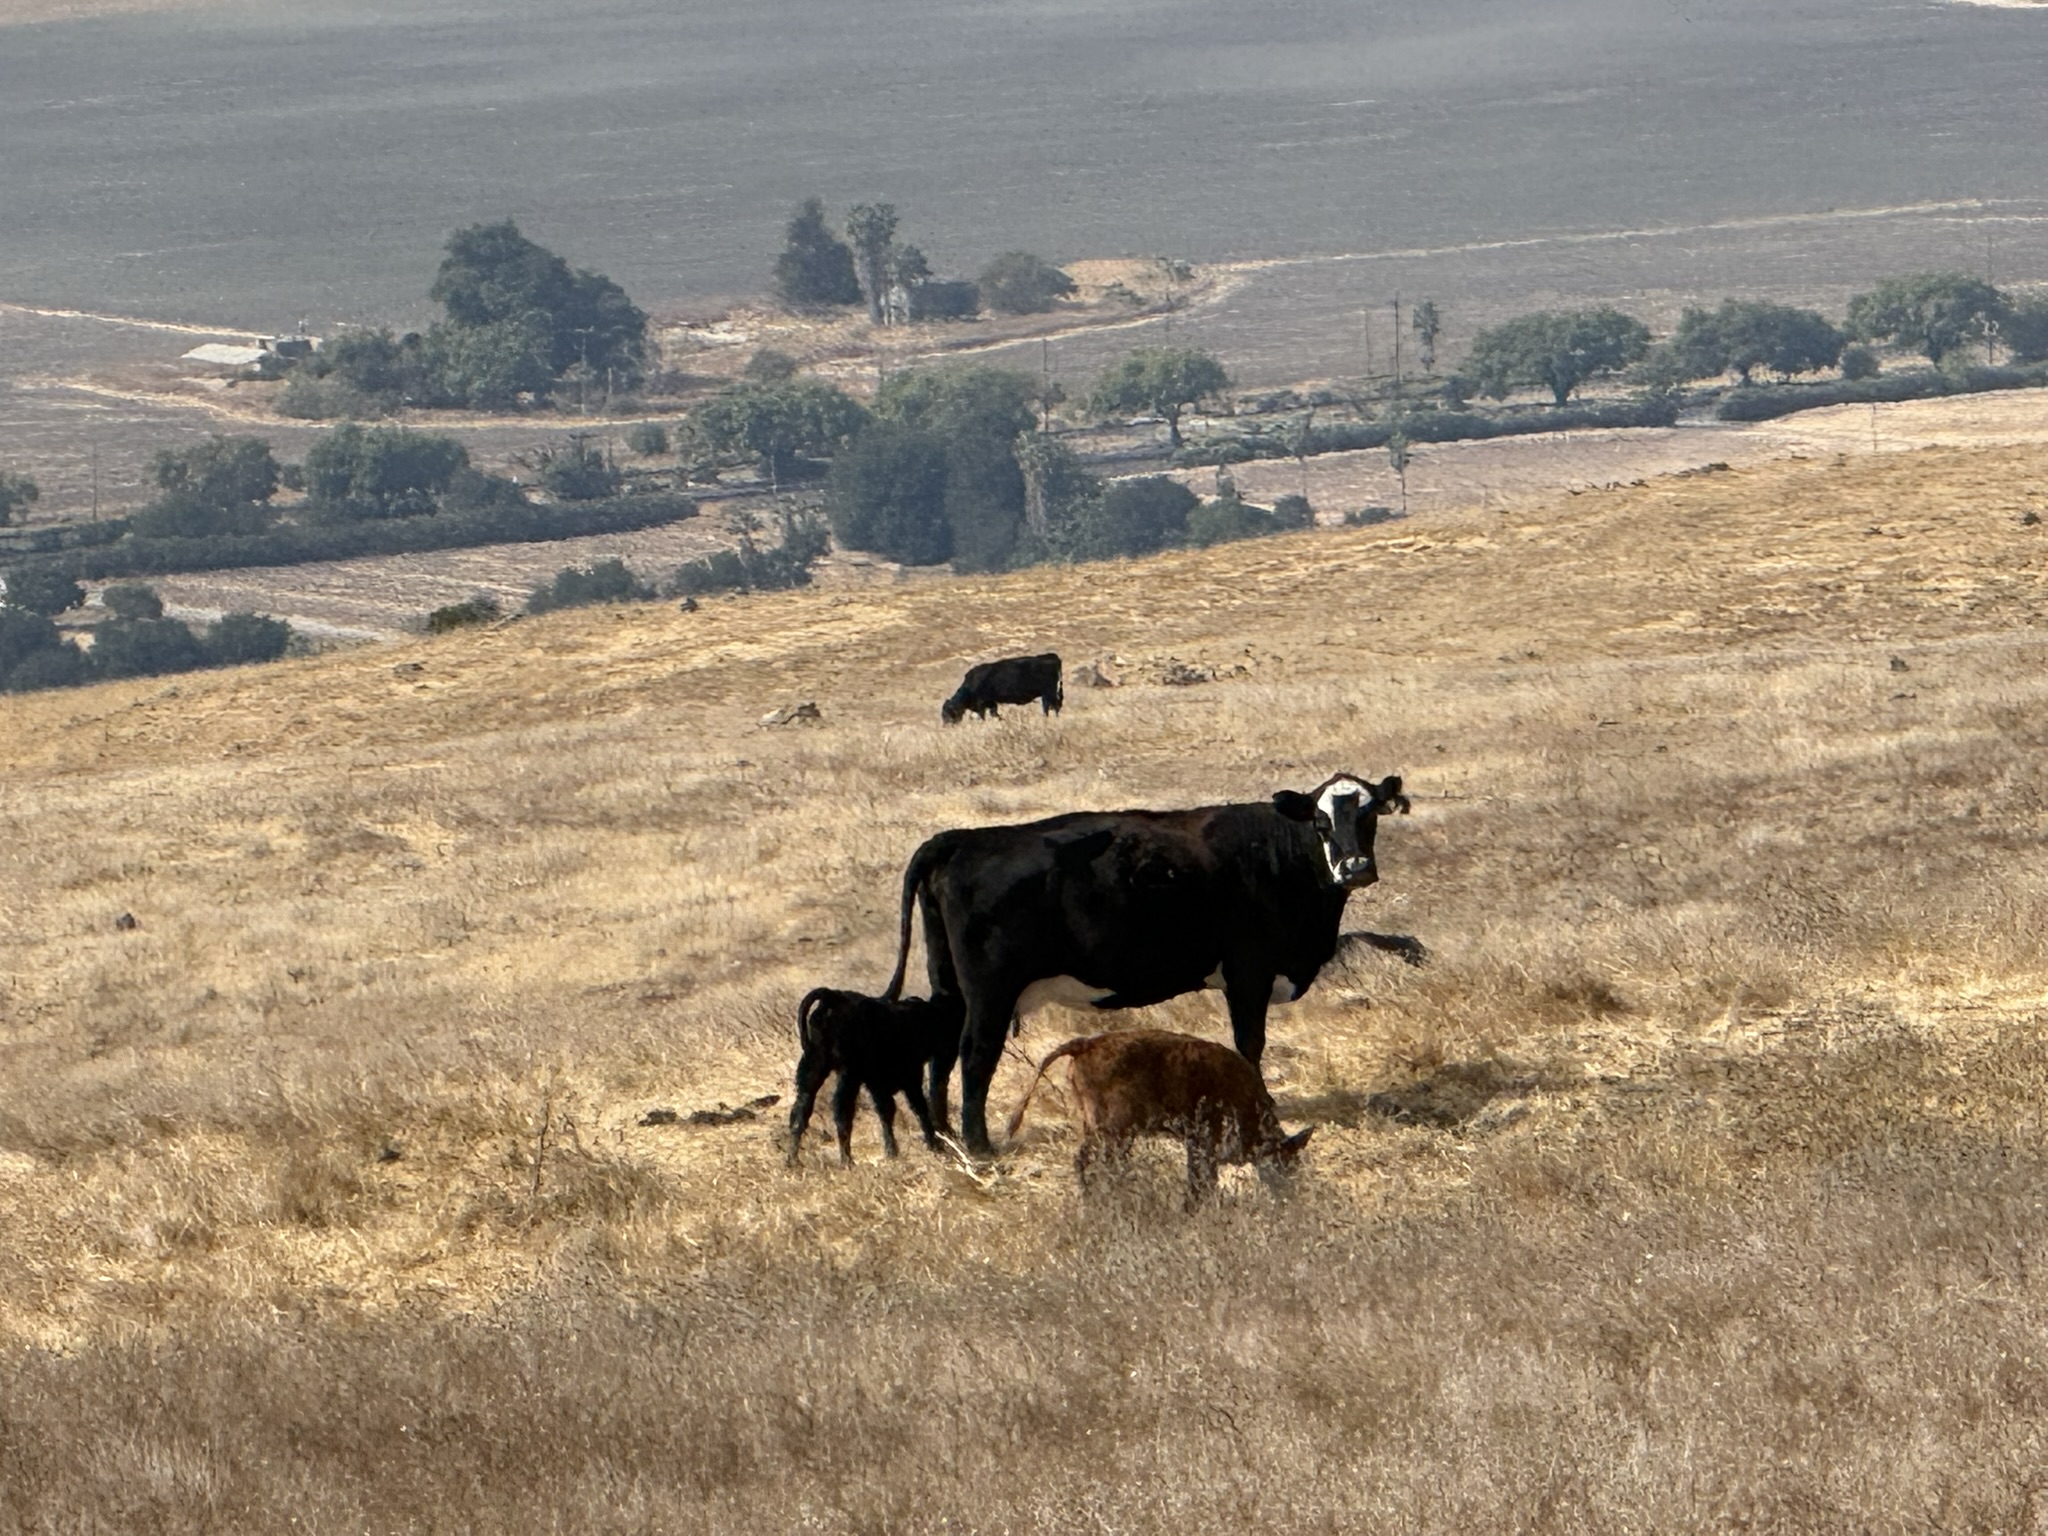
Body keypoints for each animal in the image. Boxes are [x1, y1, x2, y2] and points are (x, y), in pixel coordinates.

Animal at [786, 987, 965, 1166]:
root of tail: (833, 996)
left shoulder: (878, 1085)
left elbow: (886, 1112)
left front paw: (892, 1151)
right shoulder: (911, 1079)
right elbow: (919, 1109)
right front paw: (934, 1145)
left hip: (813, 1067)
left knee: (801, 1109)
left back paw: (792, 1160)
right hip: (849, 1073)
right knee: (841, 1110)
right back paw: (847, 1161)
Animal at [884, 771, 1409, 1158]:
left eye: (1369, 817)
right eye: (1321, 822)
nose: (1355, 867)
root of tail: (961, 839)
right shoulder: (1249, 971)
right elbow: (1249, 1045)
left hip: (950, 986)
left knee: (943, 1052)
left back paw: (945, 1138)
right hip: (990, 992)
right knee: (975, 1054)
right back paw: (978, 1146)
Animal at [1006, 1028, 1313, 1206]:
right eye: (1287, 1162)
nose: (1291, 1195)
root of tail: (1087, 1044)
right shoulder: (1203, 1140)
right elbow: (1202, 1180)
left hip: (1101, 1127)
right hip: (1114, 1130)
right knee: (1090, 1160)